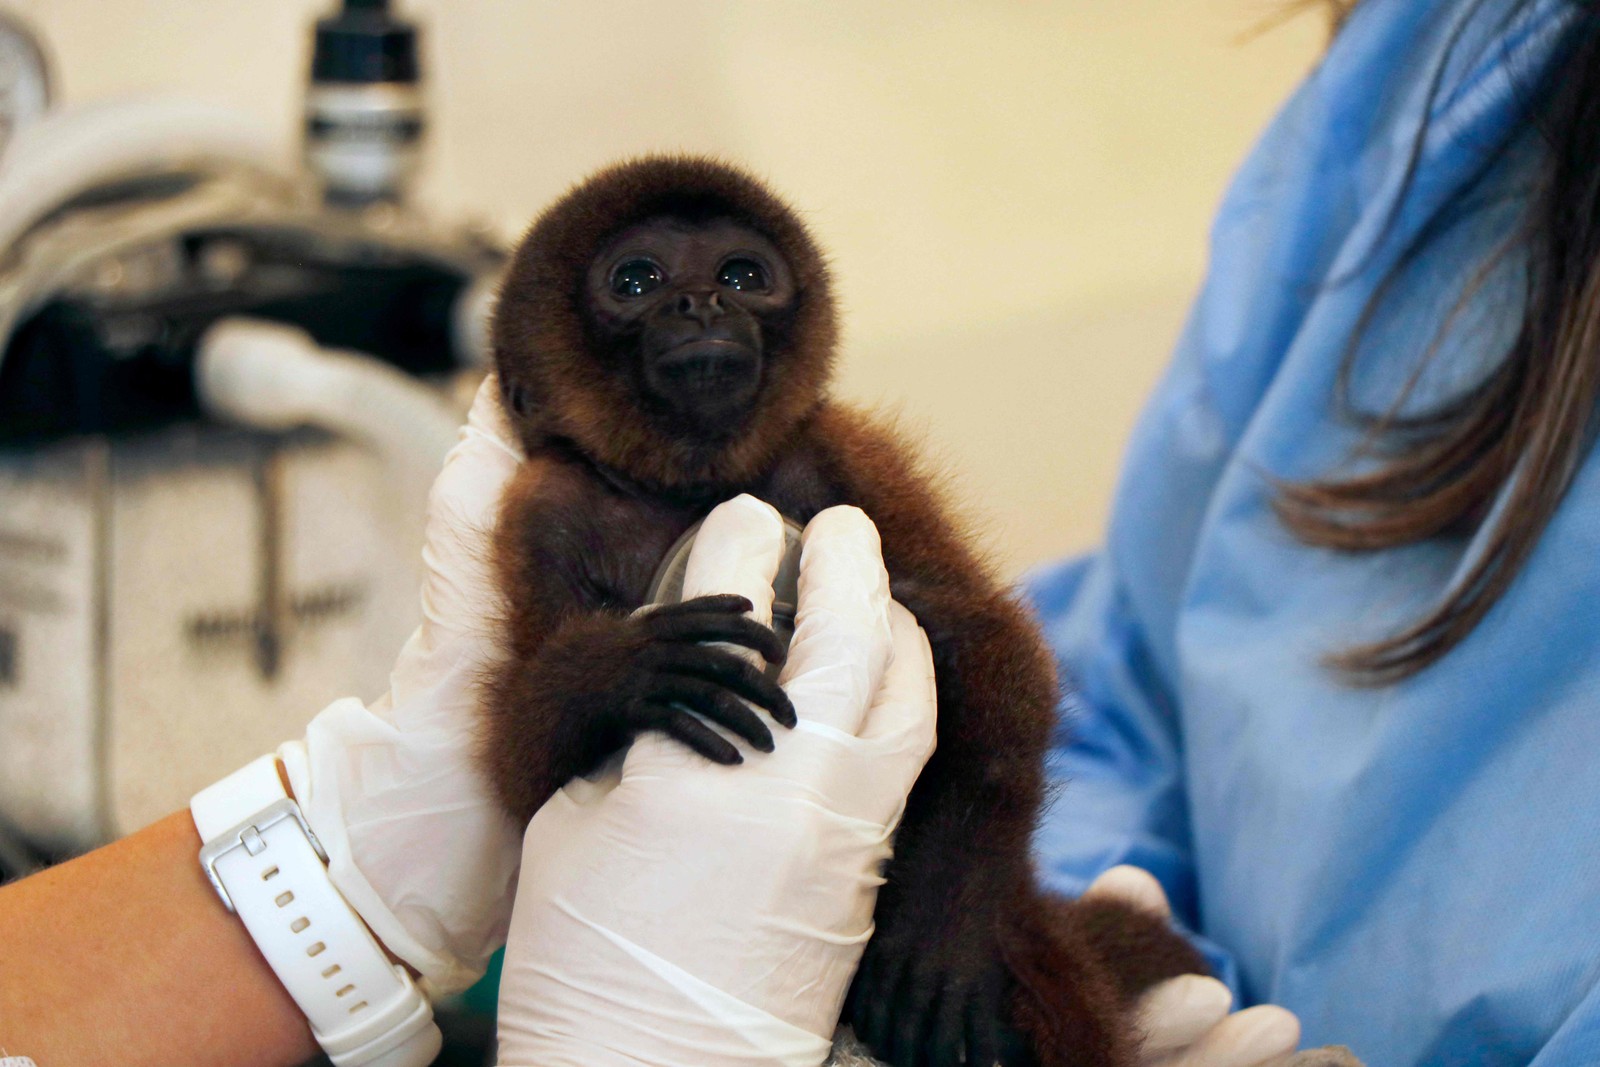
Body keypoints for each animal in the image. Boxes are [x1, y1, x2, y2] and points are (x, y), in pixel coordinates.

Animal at [483, 158, 1350, 1067]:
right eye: (637, 280)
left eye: (742, 275)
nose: (700, 302)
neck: (687, 486)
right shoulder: (540, 515)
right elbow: (521, 768)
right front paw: (628, 673)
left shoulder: (842, 450)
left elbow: (984, 642)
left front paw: (942, 928)